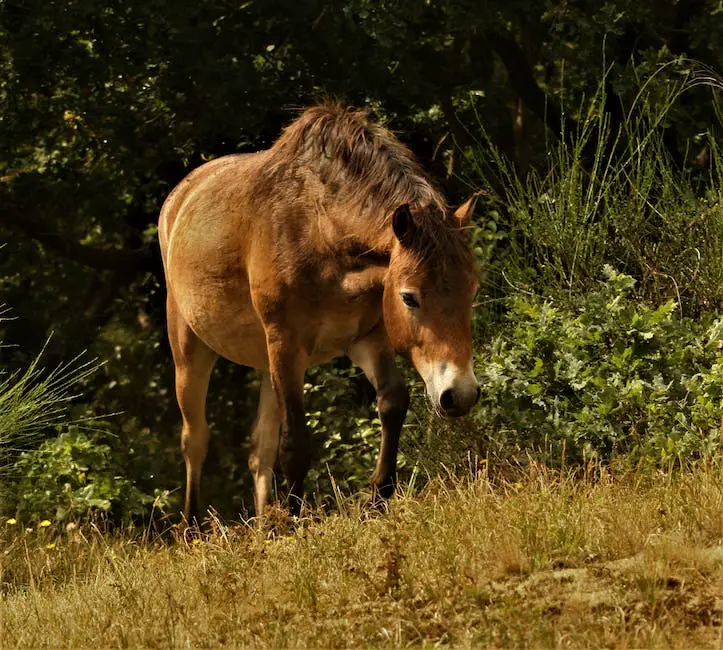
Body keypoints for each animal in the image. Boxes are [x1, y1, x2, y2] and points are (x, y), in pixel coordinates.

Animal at [161, 102, 484, 520]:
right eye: (409, 297)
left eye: (471, 291)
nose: (460, 394)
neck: (320, 227)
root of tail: (178, 199)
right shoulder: (287, 346)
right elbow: (296, 444)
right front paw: (297, 521)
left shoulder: (367, 339)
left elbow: (393, 403)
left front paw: (378, 496)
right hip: (190, 348)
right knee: (195, 440)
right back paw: (192, 526)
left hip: (265, 360)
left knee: (259, 449)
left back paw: (264, 523)